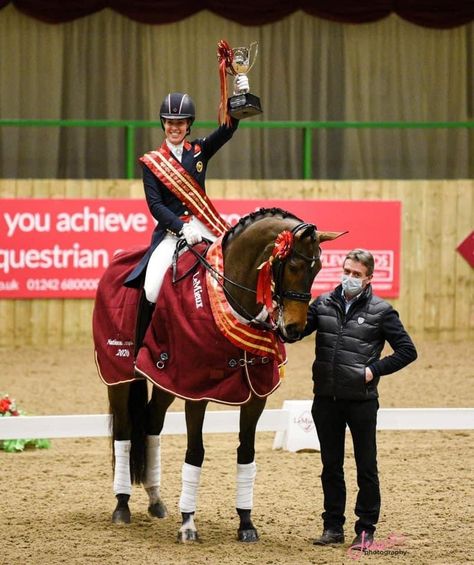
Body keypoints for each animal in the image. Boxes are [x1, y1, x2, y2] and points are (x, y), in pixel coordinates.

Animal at [92, 207, 344, 540]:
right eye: (292, 265)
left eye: (318, 268)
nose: (293, 329)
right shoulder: (196, 391)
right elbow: (195, 453)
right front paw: (188, 524)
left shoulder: (256, 395)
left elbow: (246, 453)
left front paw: (246, 523)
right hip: (119, 374)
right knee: (123, 431)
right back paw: (122, 505)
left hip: (165, 380)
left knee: (151, 424)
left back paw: (156, 500)